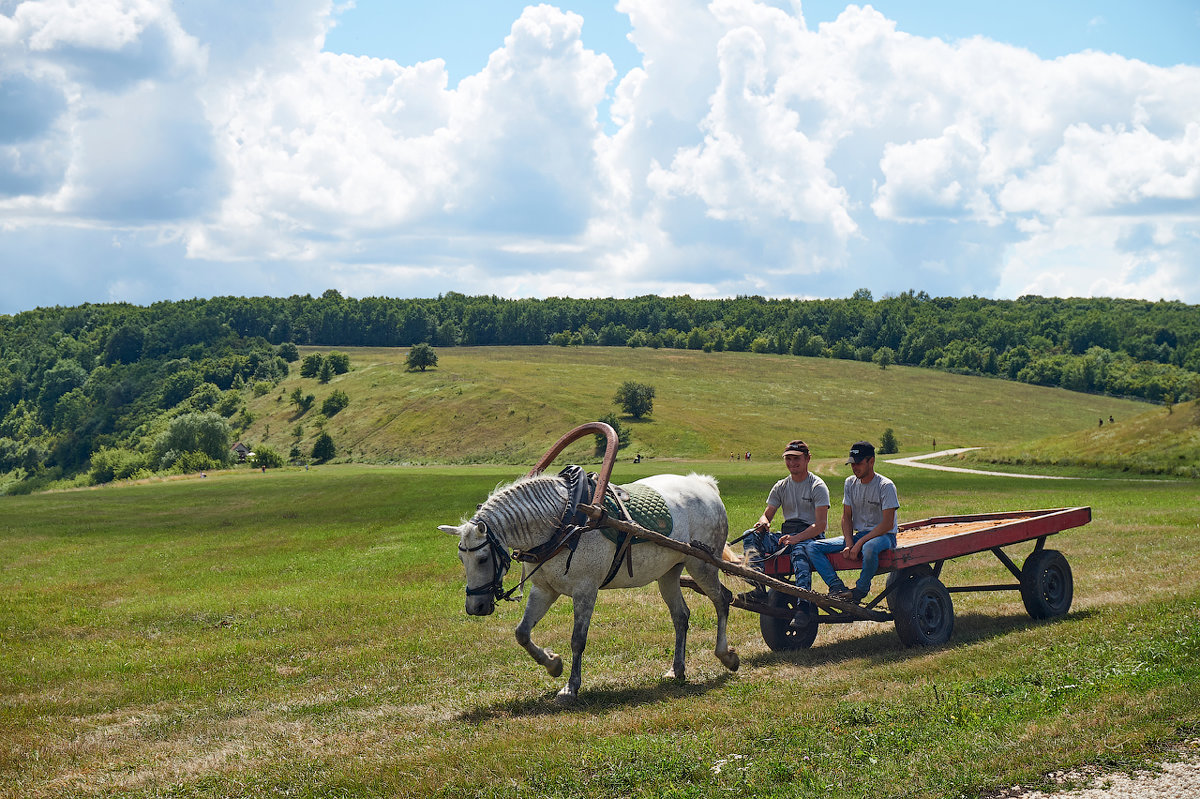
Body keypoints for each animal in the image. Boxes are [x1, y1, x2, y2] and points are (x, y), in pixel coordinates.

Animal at [441, 470, 739, 700]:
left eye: (482, 559)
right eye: (461, 558)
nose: (475, 607)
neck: (564, 521)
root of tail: (704, 485)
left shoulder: (585, 590)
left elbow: (577, 639)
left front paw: (571, 686)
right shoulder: (544, 590)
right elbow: (522, 633)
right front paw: (552, 664)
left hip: (702, 565)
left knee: (723, 599)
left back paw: (725, 655)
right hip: (668, 573)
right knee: (681, 616)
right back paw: (677, 668)